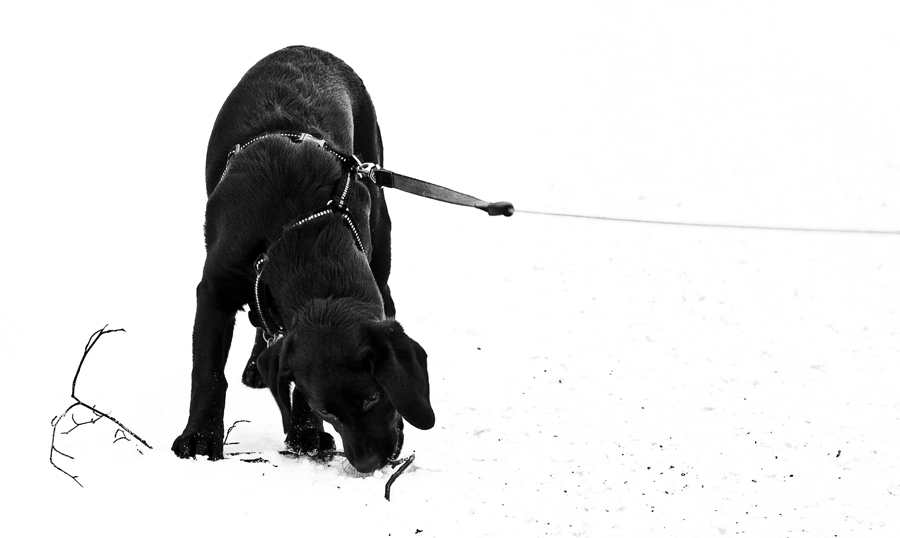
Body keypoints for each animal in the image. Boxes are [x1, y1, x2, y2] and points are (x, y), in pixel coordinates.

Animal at [173, 48, 436, 472]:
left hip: (379, 211)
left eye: (373, 396)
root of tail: (305, 49)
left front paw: (304, 432)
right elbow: (209, 372)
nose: (369, 464)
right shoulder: (215, 288)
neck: (298, 233)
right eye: (328, 410)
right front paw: (200, 438)